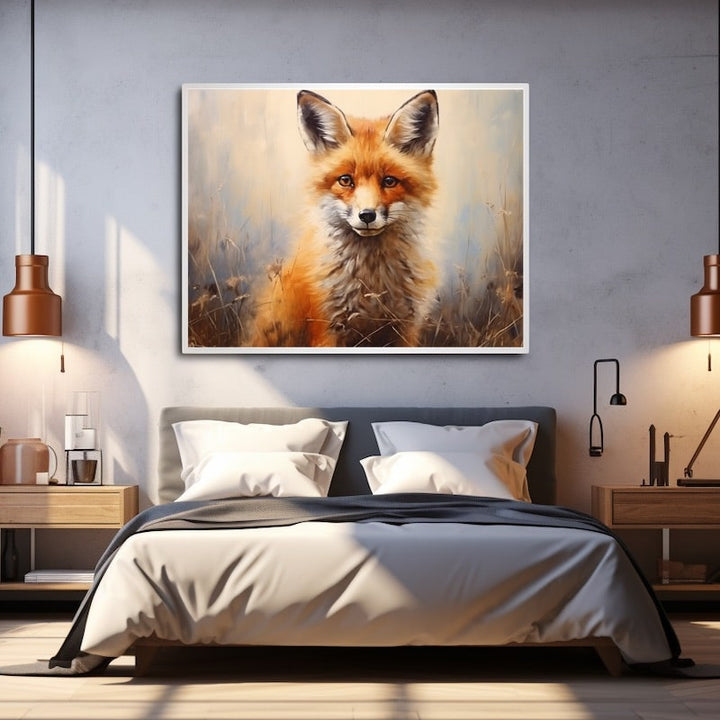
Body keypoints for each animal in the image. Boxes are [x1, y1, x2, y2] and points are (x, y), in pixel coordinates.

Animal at [252, 88, 440, 348]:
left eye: (389, 181)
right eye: (345, 180)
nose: (367, 215)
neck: (373, 283)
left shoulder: (406, 327)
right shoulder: (326, 326)